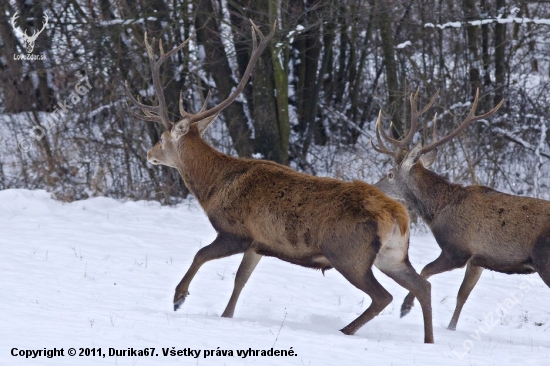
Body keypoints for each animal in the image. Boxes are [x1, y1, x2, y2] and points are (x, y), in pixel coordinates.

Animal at [126, 20, 436, 344]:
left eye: (162, 139)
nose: (149, 154)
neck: (212, 188)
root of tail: (398, 215)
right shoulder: (259, 243)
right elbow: (241, 279)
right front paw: (226, 315)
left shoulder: (236, 231)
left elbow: (200, 255)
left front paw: (179, 298)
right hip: (392, 255)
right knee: (422, 286)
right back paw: (428, 340)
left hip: (349, 253)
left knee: (382, 296)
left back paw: (345, 330)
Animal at [376, 89, 550, 332]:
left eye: (390, 174)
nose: (373, 188)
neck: (438, 210)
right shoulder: (478, 259)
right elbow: (462, 295)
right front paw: (451, 328)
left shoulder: (457, 249)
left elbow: (425, 271)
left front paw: (405, 308)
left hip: (545, 259)